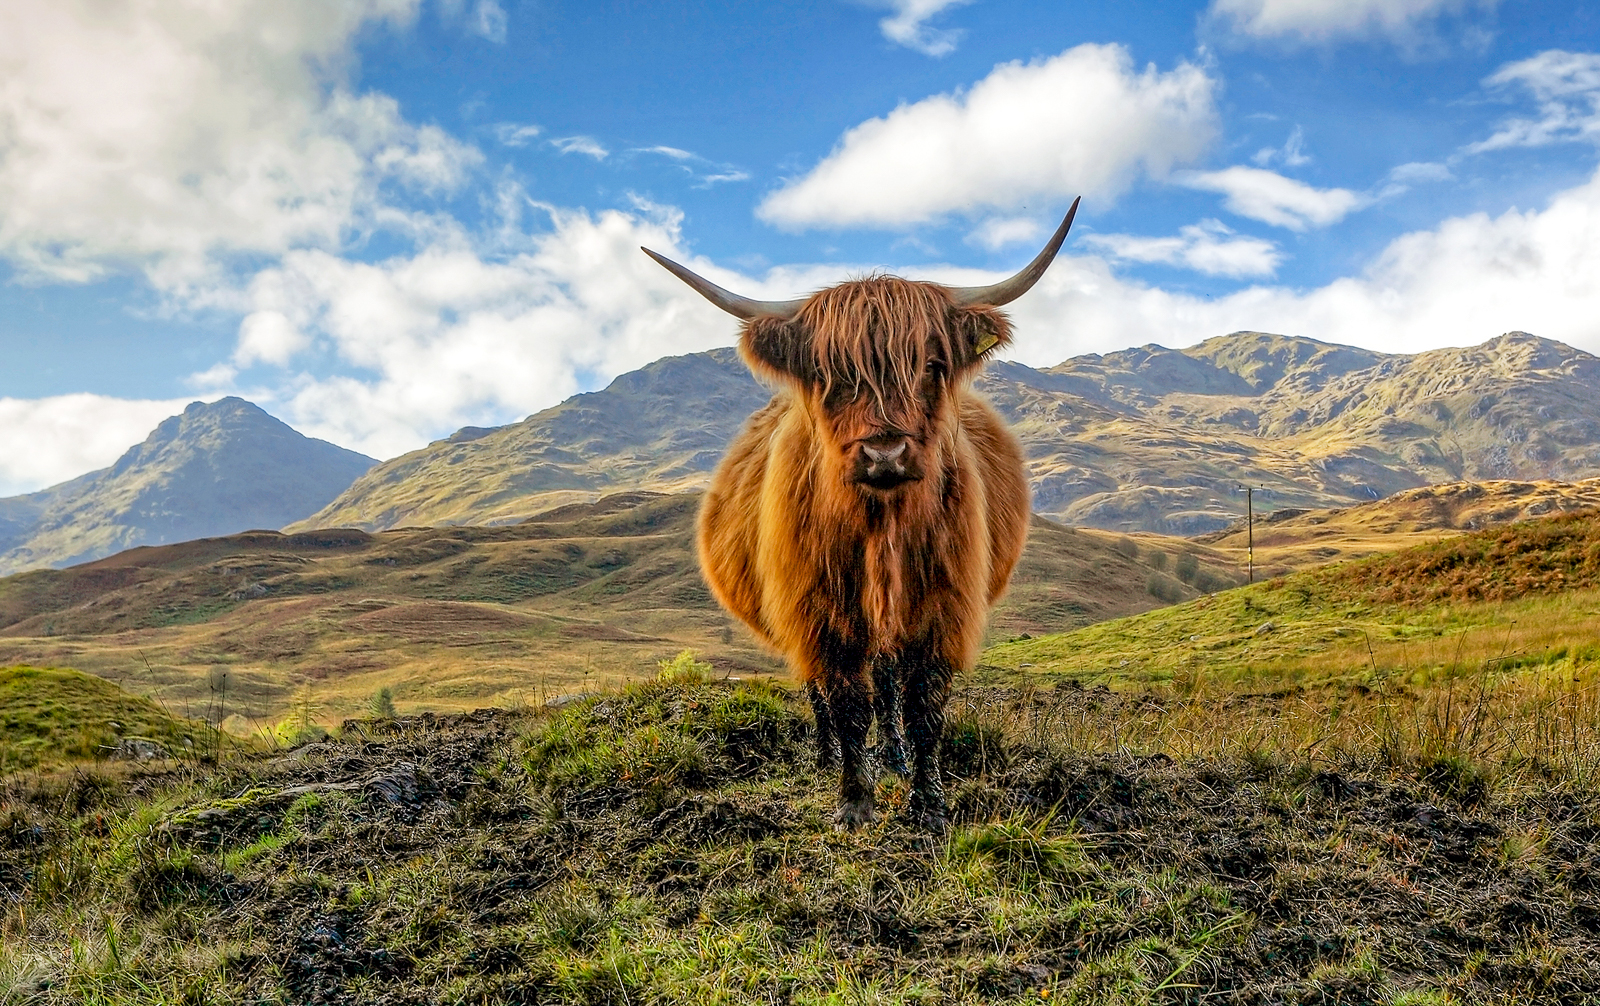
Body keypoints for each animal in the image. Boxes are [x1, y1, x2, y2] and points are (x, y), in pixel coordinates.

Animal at [643, 199, 1077, 831]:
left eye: (931, 365)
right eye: (830, 373)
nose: (885, 453)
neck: (881, 527)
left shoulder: (940, 609)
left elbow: (923, 707)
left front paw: (928, 804)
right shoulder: (818, 610)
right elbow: (846, 702)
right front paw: (853, 800)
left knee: (888, 681)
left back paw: (892, 756)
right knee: (822, 689)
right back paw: (827, 756)